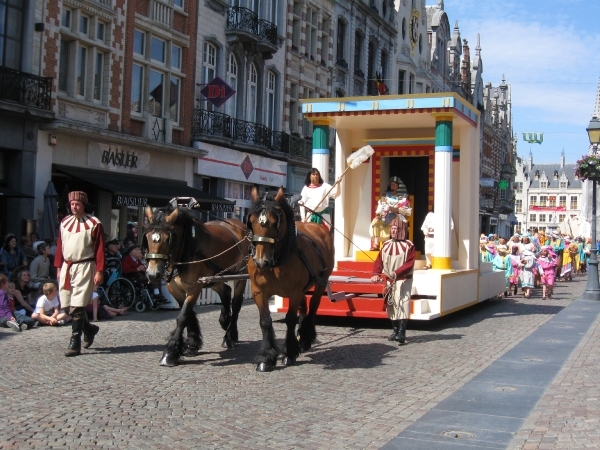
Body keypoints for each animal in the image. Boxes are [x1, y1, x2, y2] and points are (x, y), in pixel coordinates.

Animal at [144, 204, 250, 366]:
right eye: (148, 236)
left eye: (168, 239)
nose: (152, 274)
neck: (188, 247)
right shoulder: (175, 289)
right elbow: (188, 314)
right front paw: (191, 344)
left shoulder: (194, 288)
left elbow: (183, 316)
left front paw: (170, 352)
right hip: (214, 278)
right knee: (225, 291)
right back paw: (225, 320)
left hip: (240, 275)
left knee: (236, 302)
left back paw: (230, 336)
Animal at [246, 187, 336, 372]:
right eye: (251, 221)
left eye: (275, 222)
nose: (260, 261)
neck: (276, 260)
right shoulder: (258, 291)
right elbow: (265, 321)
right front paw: (266, 357)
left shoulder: (294, 292)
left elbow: (290, 319)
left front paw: (289, 353)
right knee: (304, 306)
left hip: (321, 281)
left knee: (313, 306)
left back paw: (306, 338)